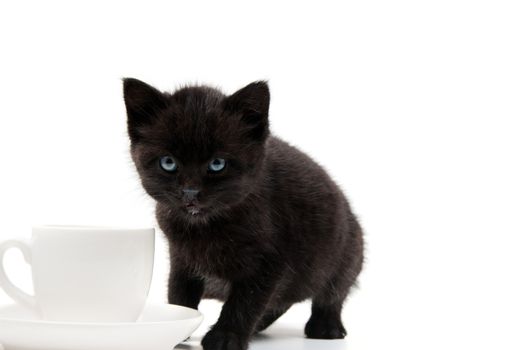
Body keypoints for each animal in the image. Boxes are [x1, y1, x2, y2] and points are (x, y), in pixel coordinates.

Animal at [123, 78, 364, 350]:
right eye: (168, 162)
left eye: (217, 164)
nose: (190, 192)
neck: (205, 226)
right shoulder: (180, 255)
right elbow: (179, 290)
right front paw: (181, 326)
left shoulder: (270, 261)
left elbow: (246, 301)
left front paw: (225, 337)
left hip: (348, 249)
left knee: (332, 293)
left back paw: (325, 327)